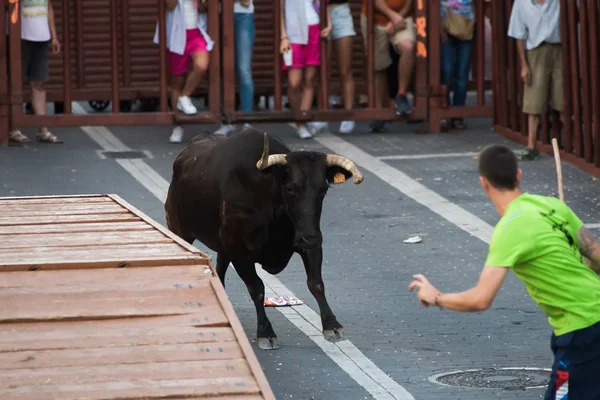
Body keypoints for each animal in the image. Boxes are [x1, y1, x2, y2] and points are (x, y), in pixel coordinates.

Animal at [164, 129, 364, 350]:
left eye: (323, 189)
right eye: (290, 188)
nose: (310, 237)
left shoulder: (309, 243)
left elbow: (316, 283)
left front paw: (332, 324)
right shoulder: (239, 250)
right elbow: (257, 288)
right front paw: (266, 332)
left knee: (220, 266)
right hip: (180, 230)